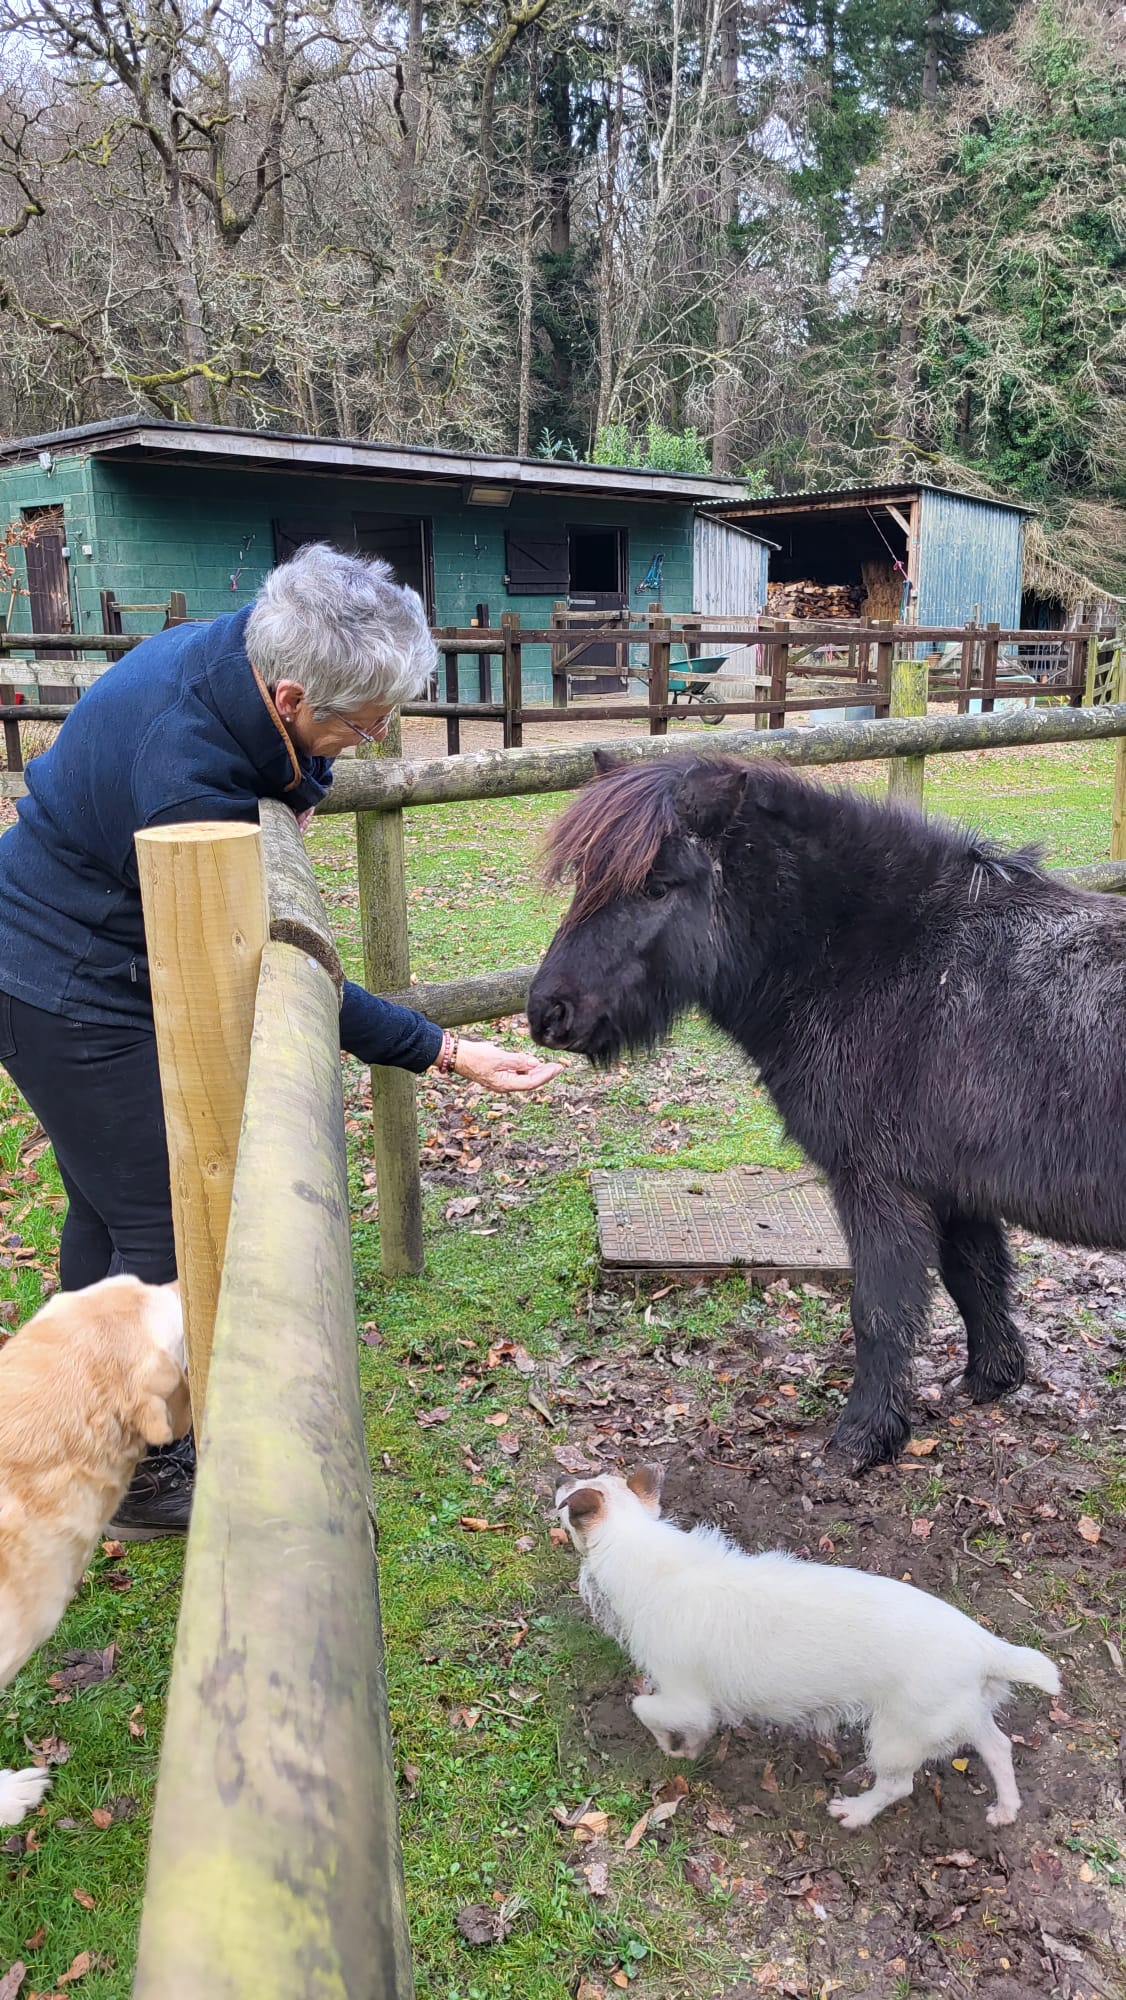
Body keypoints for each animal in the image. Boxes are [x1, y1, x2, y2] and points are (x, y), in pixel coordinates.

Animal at [528, 752, 1126, 1472]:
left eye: (657, 887)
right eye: (585, 880)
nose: (548, 1013)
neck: (890, 957)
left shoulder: (878, 1184)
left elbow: (879, 1311)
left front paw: (864, 1437)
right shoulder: (952, 1187)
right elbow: (975, 1278)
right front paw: (991, 1379)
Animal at [560, 1464, 1064, 1832]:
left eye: (568, 1505)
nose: (560, 1481)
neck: (645, 1552)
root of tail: (986, 1647)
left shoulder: (686, 1698)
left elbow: (645, 1707)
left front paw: (674, 1746)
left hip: (897, 1736)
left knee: (899, 1787)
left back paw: (856, 1812)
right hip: (959, 1715)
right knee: (998, 1747)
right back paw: (1006, 1808)